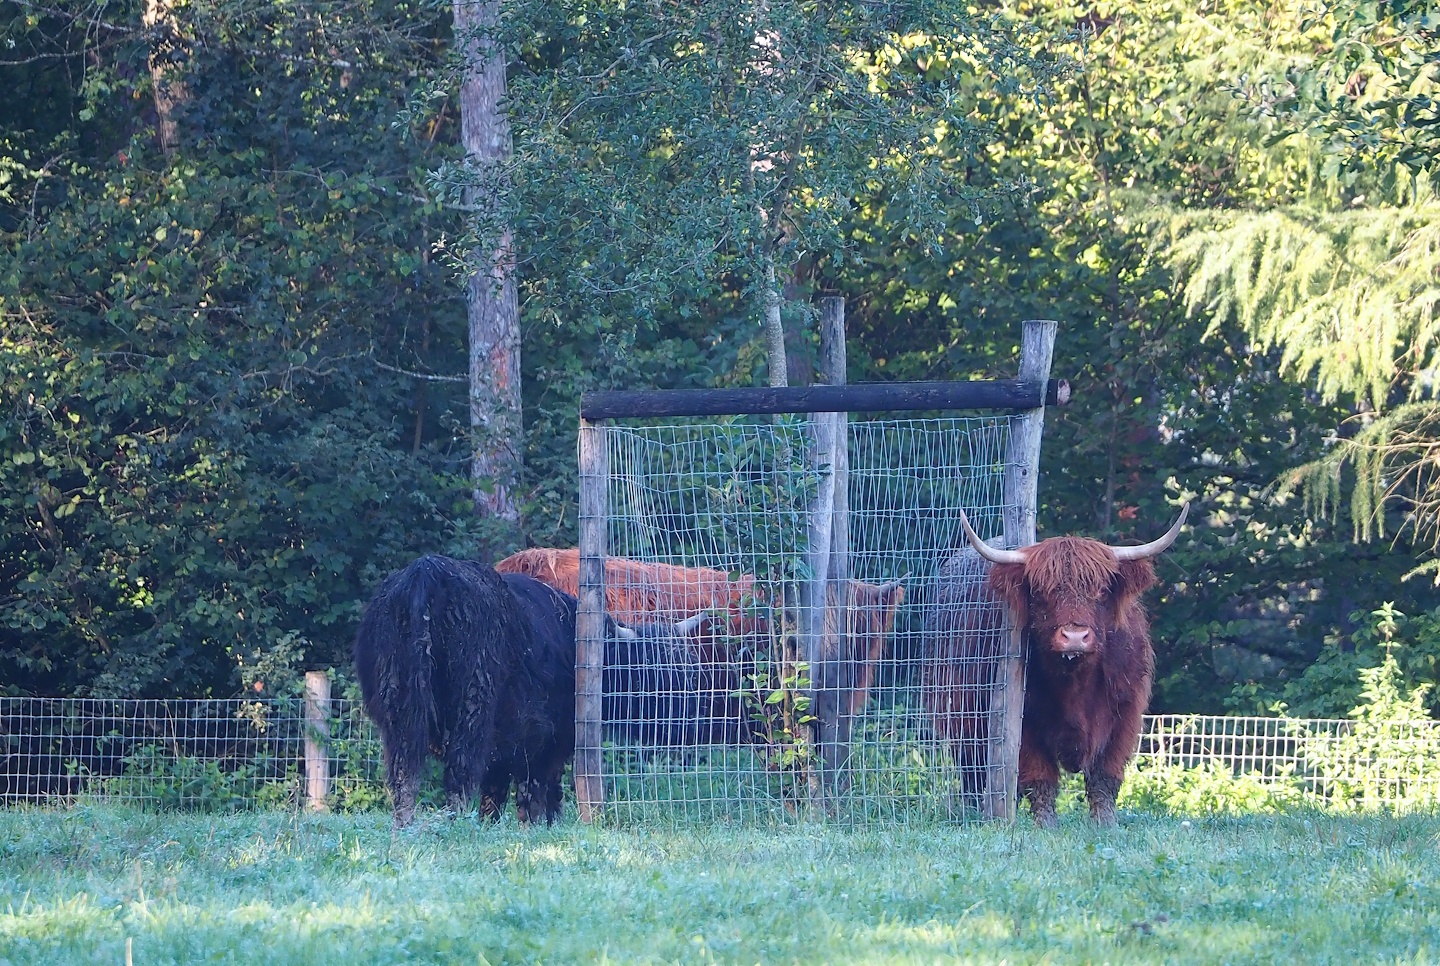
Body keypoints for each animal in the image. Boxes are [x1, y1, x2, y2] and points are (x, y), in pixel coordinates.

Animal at [353, 555, 581, 828]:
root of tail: (425, 569)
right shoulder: (540, 739)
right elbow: (531, 788)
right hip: (472, 704)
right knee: (460, 771)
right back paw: (457, 822)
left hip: (398, 703)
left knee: (404, 772)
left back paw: (405, 825)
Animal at [922, 504, 1188, 827]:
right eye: (1040, 592)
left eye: (1101, 591)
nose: (1074, 637)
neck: (1074, 682)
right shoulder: (1022, 723)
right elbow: (1039, 777)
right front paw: (1045, 824)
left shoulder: (1125, 715)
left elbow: (1105, 777)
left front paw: (1106, 824)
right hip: (960, 713)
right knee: (973, 770)